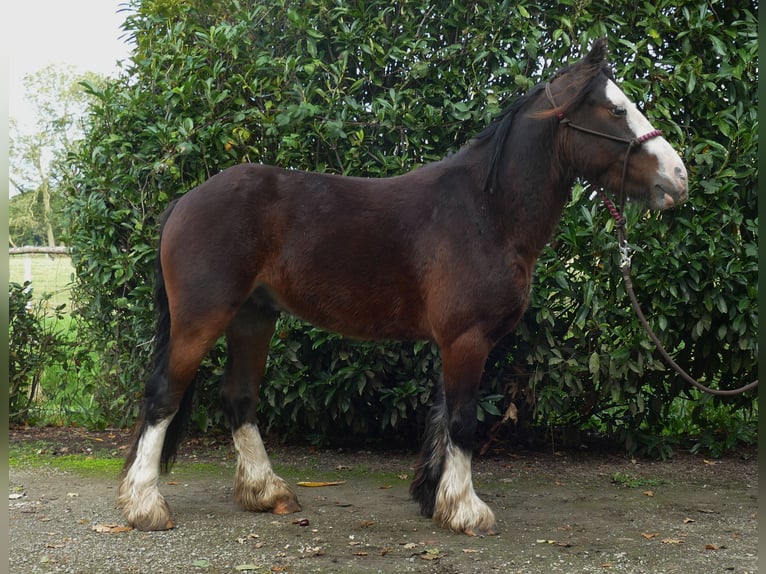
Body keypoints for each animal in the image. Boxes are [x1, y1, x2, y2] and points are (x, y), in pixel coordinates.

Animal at [118, 38, 688, 536]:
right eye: (615, 110)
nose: (678, 178)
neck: (486, 213)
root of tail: (186, 201)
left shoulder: (453, 341)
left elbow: (441, 417)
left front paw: (434, 498)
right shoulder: (466, 339)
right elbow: (462, 420)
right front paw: (466, 511)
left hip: (254, 317)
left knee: (239, 397)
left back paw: (267, 492)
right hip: (203, 318)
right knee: (164, 396)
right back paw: (146, 505)